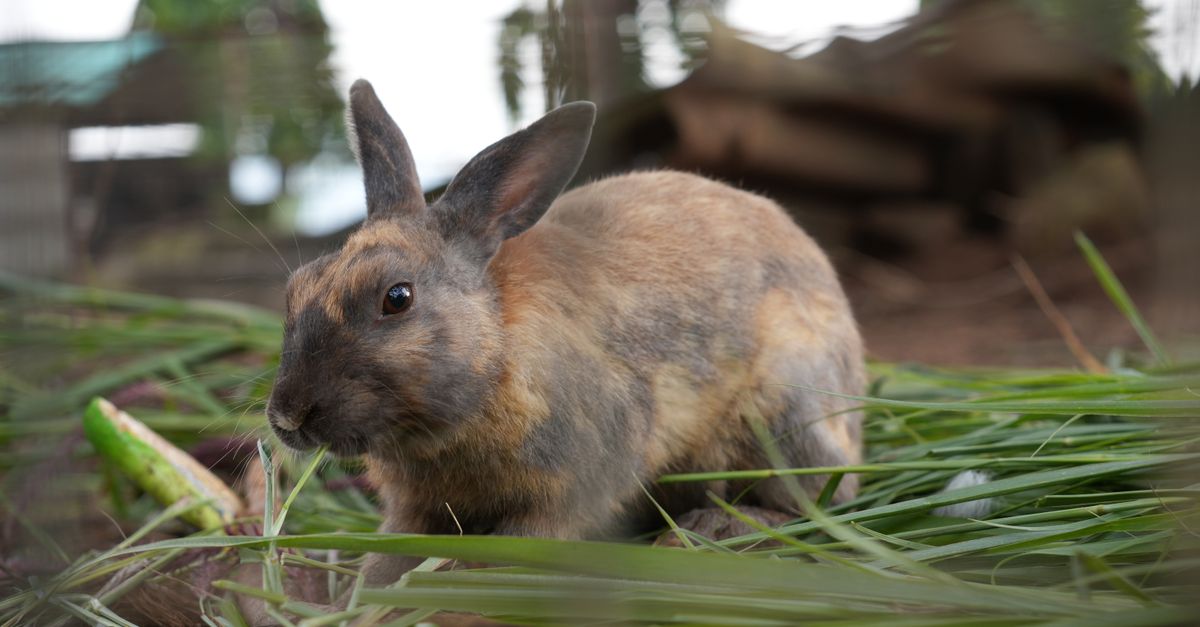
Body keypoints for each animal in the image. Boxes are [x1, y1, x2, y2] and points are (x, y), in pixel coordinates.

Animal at [267, 79, 865, 585]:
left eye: (397, 297)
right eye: (296, 285)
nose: (287, 417)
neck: (494, 358)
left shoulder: (570, 491)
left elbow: (524, 539)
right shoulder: (415, 510)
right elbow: (391, 554)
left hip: (781, 410)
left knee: (811, 503)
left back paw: (710, 530)